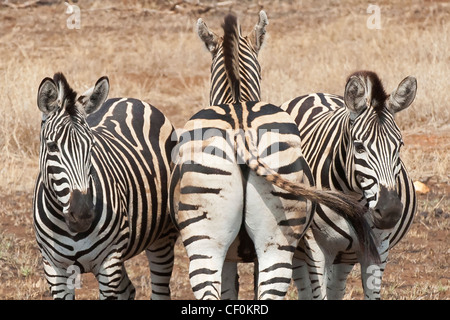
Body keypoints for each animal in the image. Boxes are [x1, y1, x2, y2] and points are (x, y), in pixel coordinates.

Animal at [33, 73, 178, 300]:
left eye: (91, 146)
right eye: (52, 146)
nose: (83, 215)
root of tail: (131, 100)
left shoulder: (109, 262)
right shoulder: (53, 267)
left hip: (163, 236)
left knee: (161, 290)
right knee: (128, 289)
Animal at [282, 70, 418, 300]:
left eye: (399, 146)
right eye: (359, 147)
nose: (390, 212)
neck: (353, 197)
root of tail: (316, 94)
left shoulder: (378, 247)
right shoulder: (316, 247)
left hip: (346, 254)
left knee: (336, 286)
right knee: (303, 285)